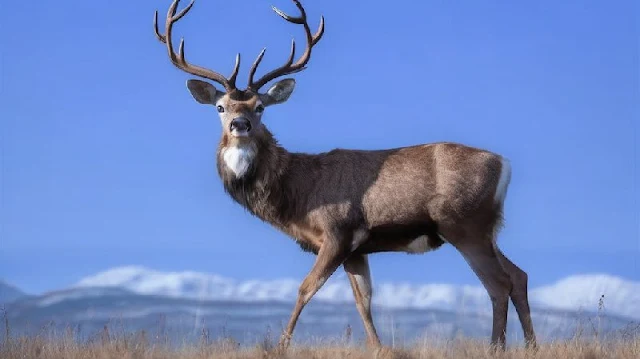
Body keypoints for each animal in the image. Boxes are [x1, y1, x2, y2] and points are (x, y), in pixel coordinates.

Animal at [152, 0, 536, 352]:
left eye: (260, 107)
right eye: (221, 107)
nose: (240, 124)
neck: (297, 195)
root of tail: (505, 164)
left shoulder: (338, 230)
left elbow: (305, 288)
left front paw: (280, 346)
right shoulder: (357, 247)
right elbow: (363, 300)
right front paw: (379, 349)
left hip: (464, 224)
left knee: (498, 283)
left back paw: (496, 347)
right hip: (485, 228)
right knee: (519, 275)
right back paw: (530, 345)